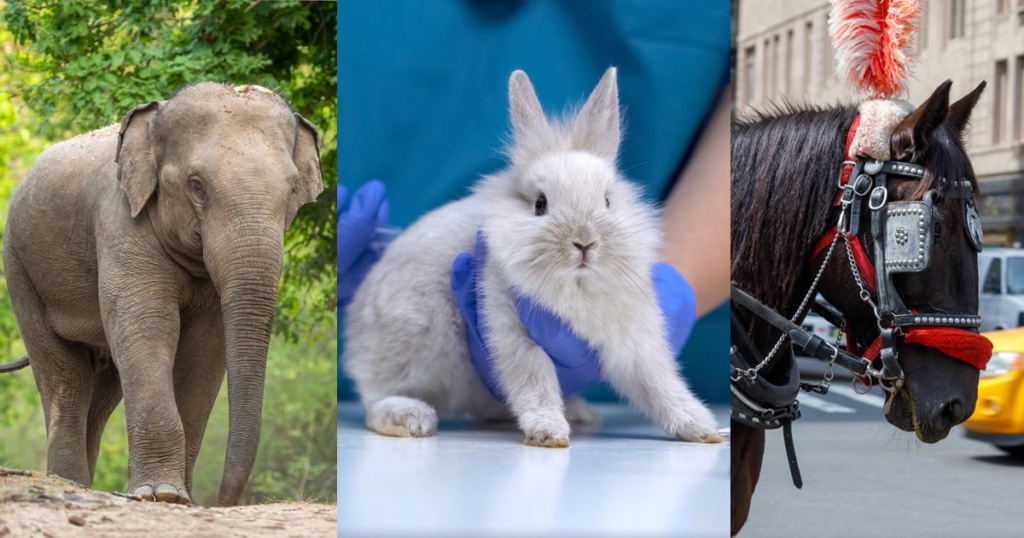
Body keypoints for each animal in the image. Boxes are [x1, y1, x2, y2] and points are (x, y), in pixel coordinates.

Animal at [0, 82, 323, 506]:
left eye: (292, 188)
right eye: (196, 186)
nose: (219, 502)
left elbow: (204, 352)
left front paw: (180, 498)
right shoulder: (120, 222)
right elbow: (148, 327)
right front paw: (161, 495)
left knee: (103, 390)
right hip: (20, 268)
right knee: (64, 378)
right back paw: (69, 482)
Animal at [343, 67, 722, 447]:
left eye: (607, 201)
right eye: (540, 204)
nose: (584, 242)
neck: (576, 287)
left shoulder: (634, 341)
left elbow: (659, 384)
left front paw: (701, 428)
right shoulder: (513, 328)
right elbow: (534, 380)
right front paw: (549, 433)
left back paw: (577, 411)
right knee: (376, 399)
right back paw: (410, 417)